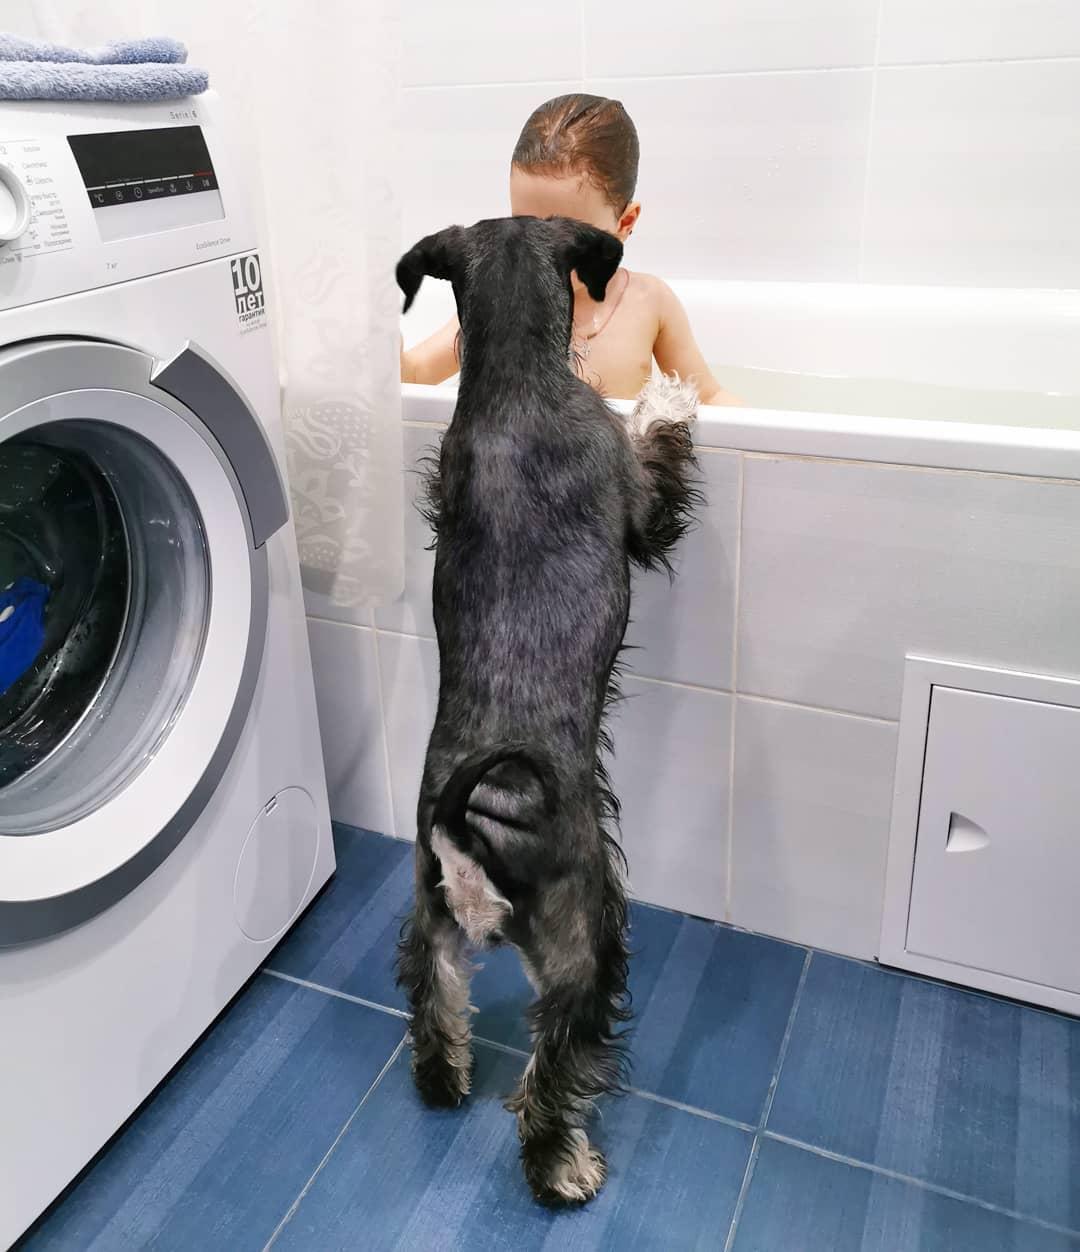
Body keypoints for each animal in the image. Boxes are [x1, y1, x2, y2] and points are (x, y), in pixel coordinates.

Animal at [394, 215, 700, 1206]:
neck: (517, 384)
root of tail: (468, 827)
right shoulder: (639, 504)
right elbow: (659, 458)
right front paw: (667, 397)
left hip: (430, 916)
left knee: (433, 997)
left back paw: (444, 1078)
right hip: (583, 943)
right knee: (558, 1061)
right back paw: (564, 1165)